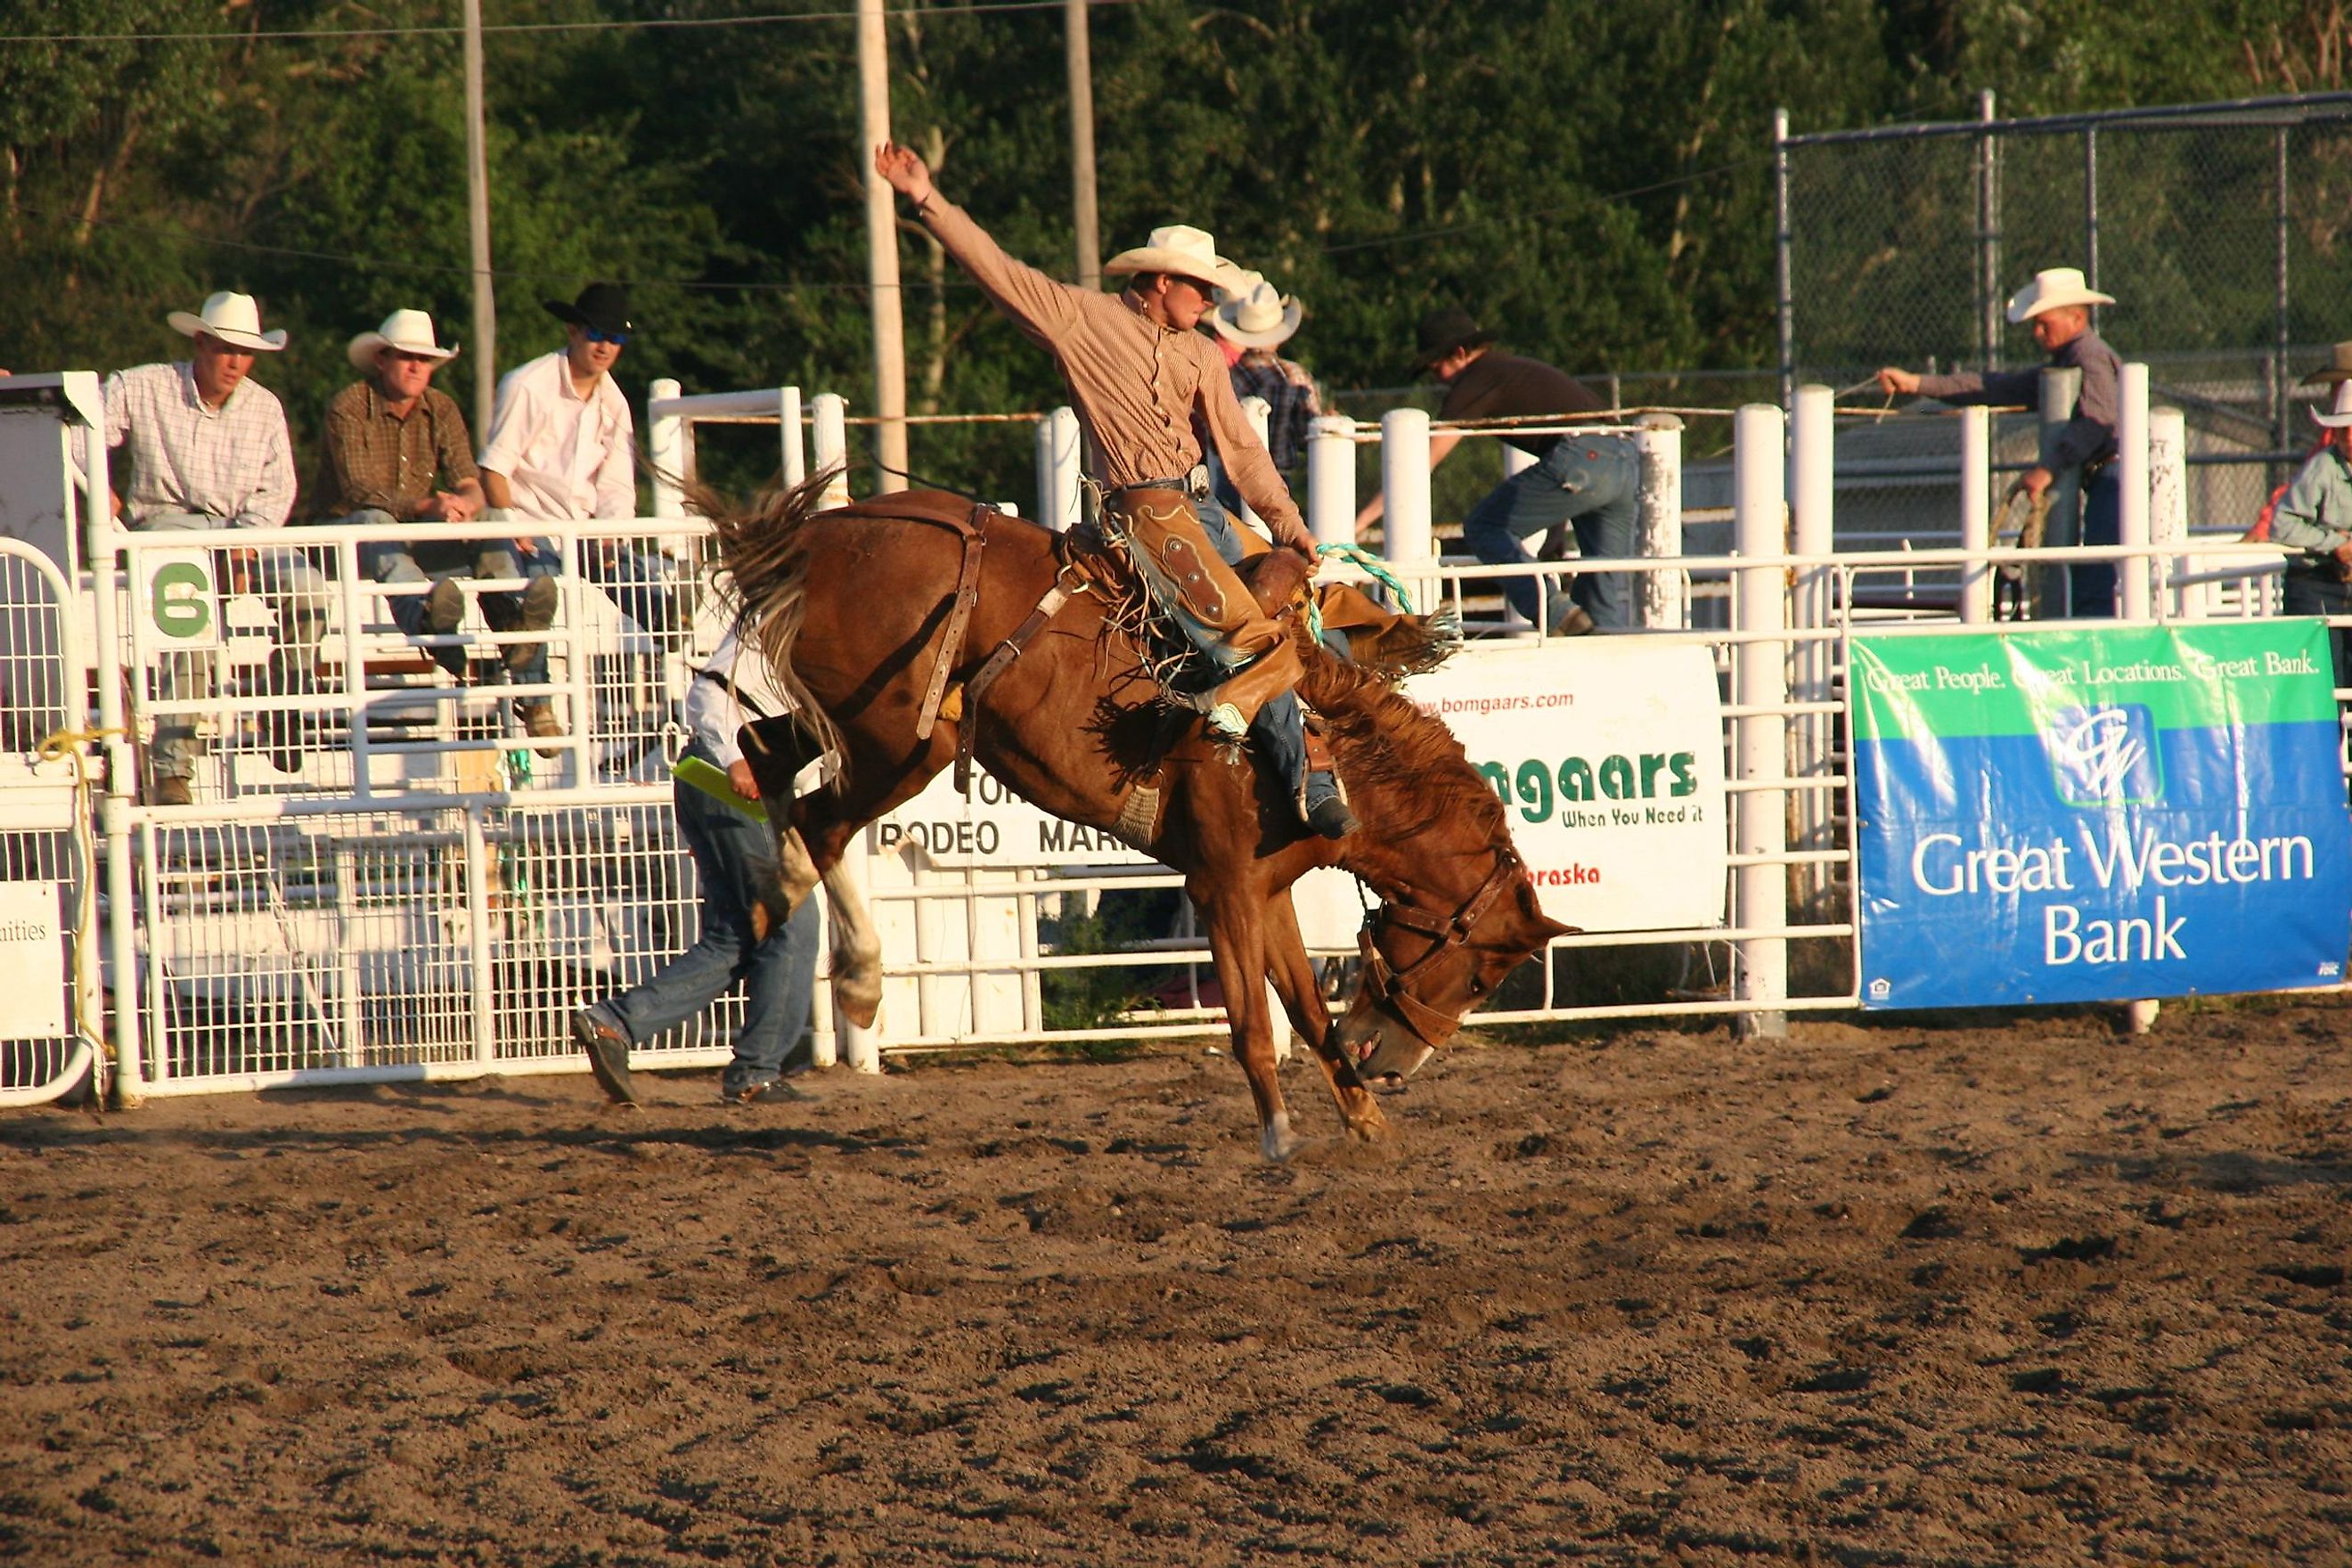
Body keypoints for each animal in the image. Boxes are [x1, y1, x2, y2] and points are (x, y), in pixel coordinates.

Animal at [706, 472, 1571, 1161]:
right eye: (1484, 973)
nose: (1393, 1065)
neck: (1315, 753)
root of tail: (818, 535)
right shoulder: (1221, 888)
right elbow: (1253, 1022)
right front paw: (1280, 1135)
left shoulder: (1267, 892)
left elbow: (1303, 1007)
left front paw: (1364, 1121)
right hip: (901, 740)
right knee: (819, 820)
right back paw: (856, 977)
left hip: (859, 728)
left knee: (760, 756)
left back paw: (772, 896)